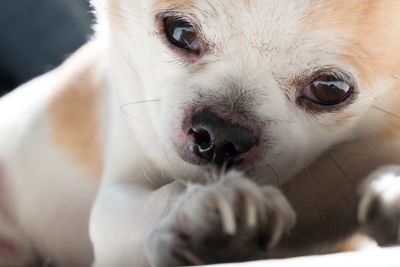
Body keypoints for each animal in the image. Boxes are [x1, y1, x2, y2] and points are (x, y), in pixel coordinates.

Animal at [0, 0, 400, 266]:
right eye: (180, 31)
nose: (221, 133)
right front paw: (200, 213)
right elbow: (150, 202)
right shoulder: (114, 200)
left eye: (330, 89)